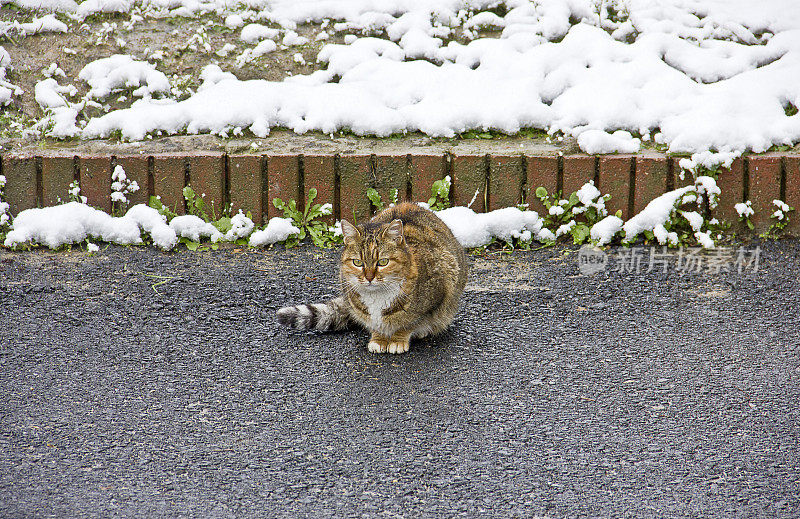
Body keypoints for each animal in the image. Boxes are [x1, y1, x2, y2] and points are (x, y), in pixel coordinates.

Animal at [280, 202, 468, 354]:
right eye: (357, 262)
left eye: (383, 262)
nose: (369, 277)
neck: (377, 297)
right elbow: (375, 327)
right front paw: (378, 339)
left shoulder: (439, 292)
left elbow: (410, 324)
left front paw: (398, 339)